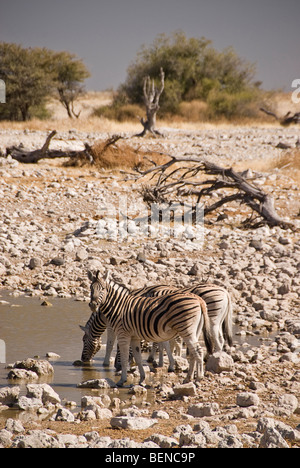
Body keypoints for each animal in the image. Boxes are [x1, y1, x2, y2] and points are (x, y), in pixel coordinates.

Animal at [85, 270, 213, 388]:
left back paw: (198, 378)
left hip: (186, 330)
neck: (119, 307)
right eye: (91, 288)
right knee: (193, 352)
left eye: (102, 289)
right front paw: (142, 379)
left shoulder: (123, 334)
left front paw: (122, 380)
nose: (93, 305)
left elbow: (125, 357)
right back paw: (188, 378)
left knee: (198, 351)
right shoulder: (134, 337)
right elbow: (138, 358)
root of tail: (198, 299)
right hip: (194, 331)